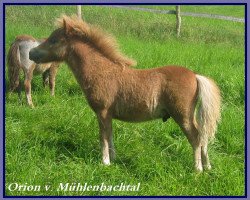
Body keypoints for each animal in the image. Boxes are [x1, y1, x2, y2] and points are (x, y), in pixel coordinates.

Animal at [29, 15, 221, 172]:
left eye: (54, 40)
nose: (31, 53)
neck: (101, 71)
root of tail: (195, 75)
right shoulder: (108, 115)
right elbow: (110, 135)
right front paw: (113, 159)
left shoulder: (102, 112)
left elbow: (103, 137)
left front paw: (105, 162)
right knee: (203, 135)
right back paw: (208, 166)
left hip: (182, 115)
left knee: (196, 137)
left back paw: (198, 169)